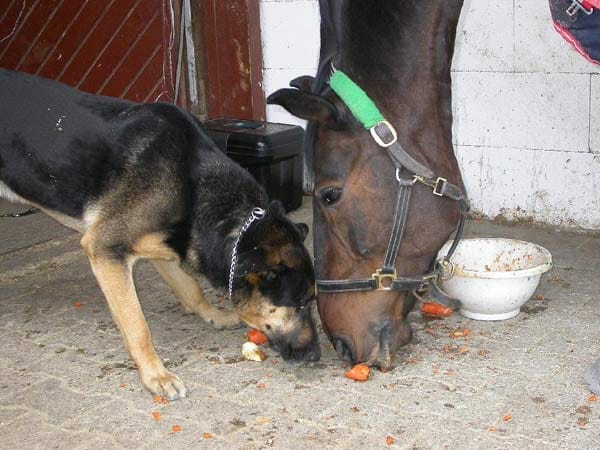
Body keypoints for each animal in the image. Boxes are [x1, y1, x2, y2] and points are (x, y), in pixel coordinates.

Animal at [0, 70, 318, 400]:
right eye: (301, 303)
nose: (316, 356)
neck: (192, 186)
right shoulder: (106, 251)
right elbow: (138, 326)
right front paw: (156, 375)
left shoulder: (168, 247)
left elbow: (190, 289)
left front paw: (213, 314)